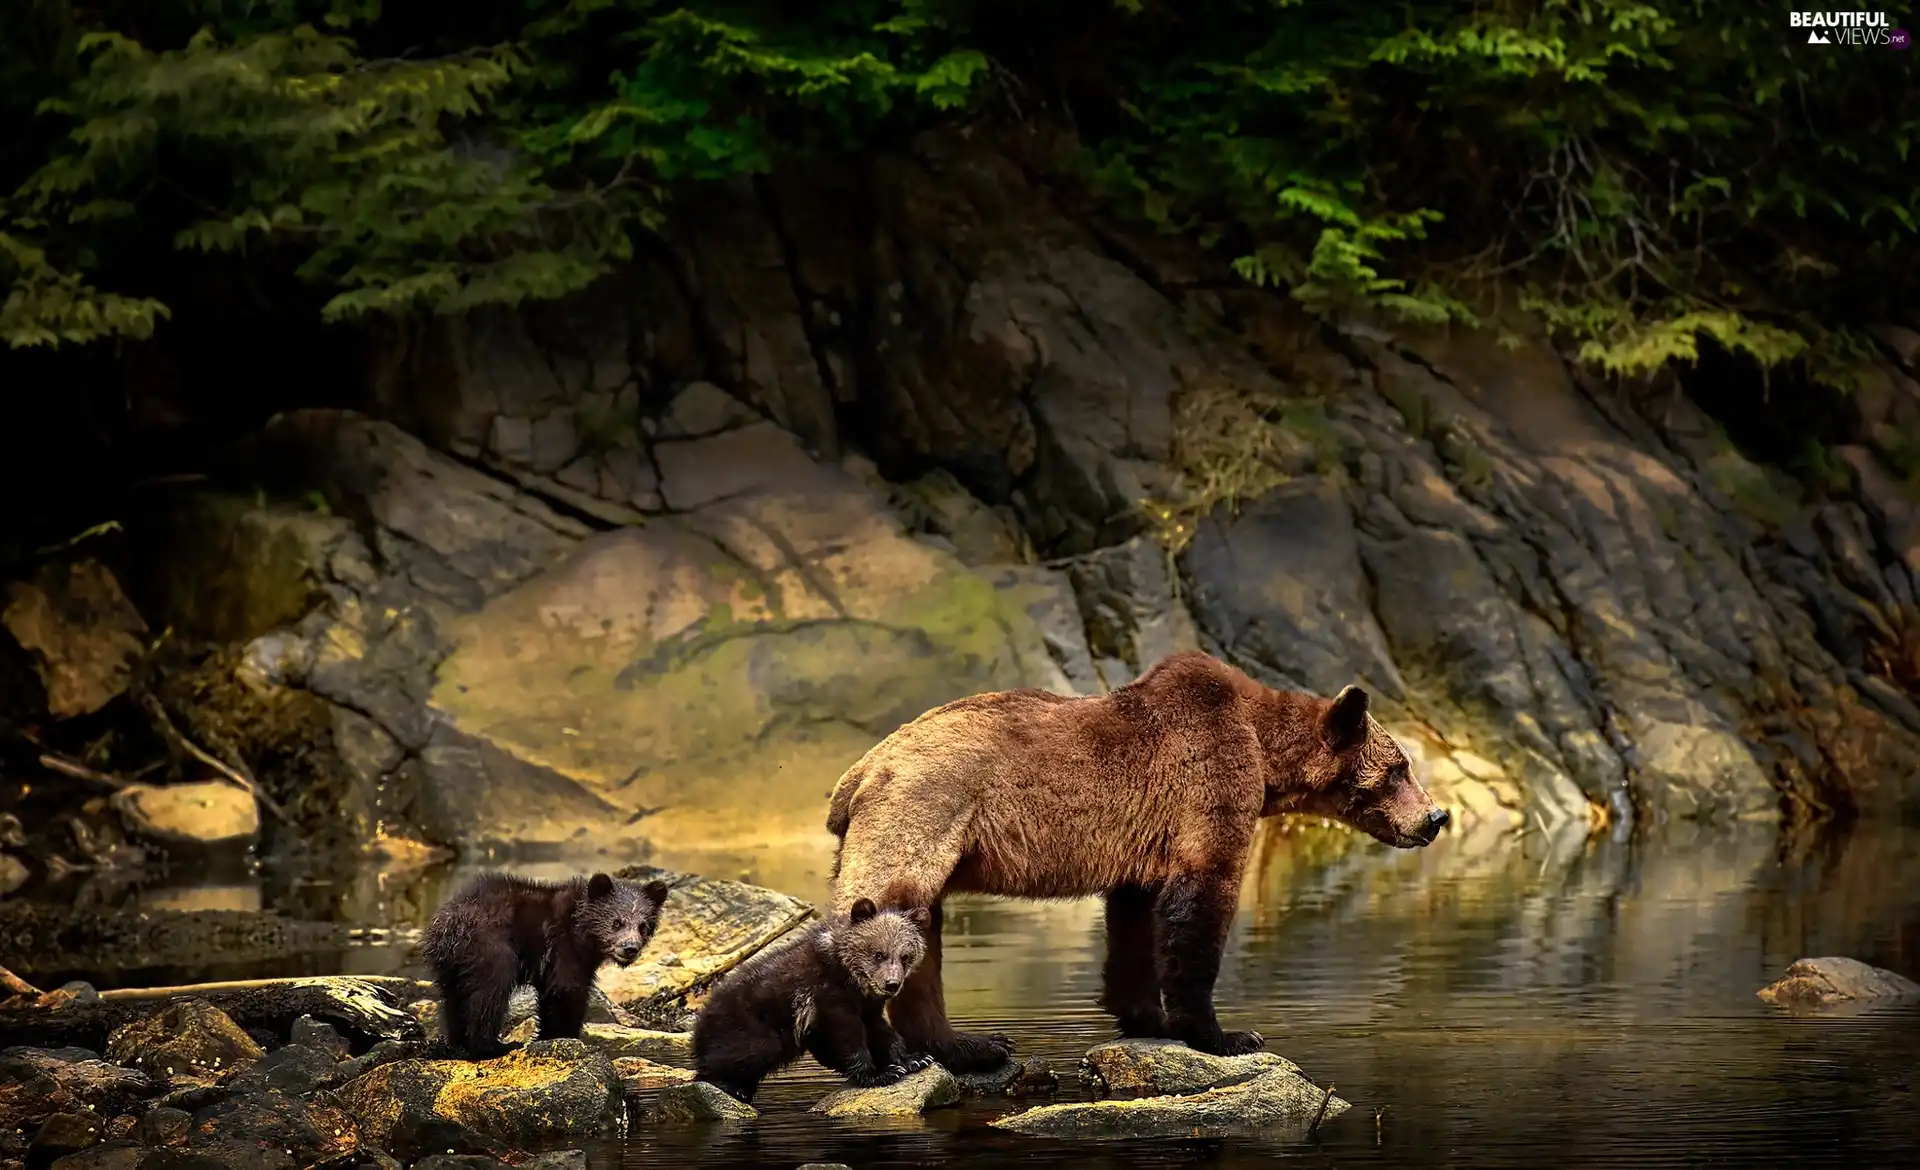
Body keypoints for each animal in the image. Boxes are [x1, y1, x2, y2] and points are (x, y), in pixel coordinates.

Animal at [821, 649, 1443, 1068]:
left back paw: (966, 1044)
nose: (1435, 817)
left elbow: (1135, 921)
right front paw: (1225, 1035)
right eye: (1400, 768)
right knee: (892, 918)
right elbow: (1202, 900)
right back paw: (939, 1047)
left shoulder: (1147, 837)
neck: (1266, 754)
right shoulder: (1208, 781)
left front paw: (1148, 1016)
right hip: (926, 813)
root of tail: (857, 775)